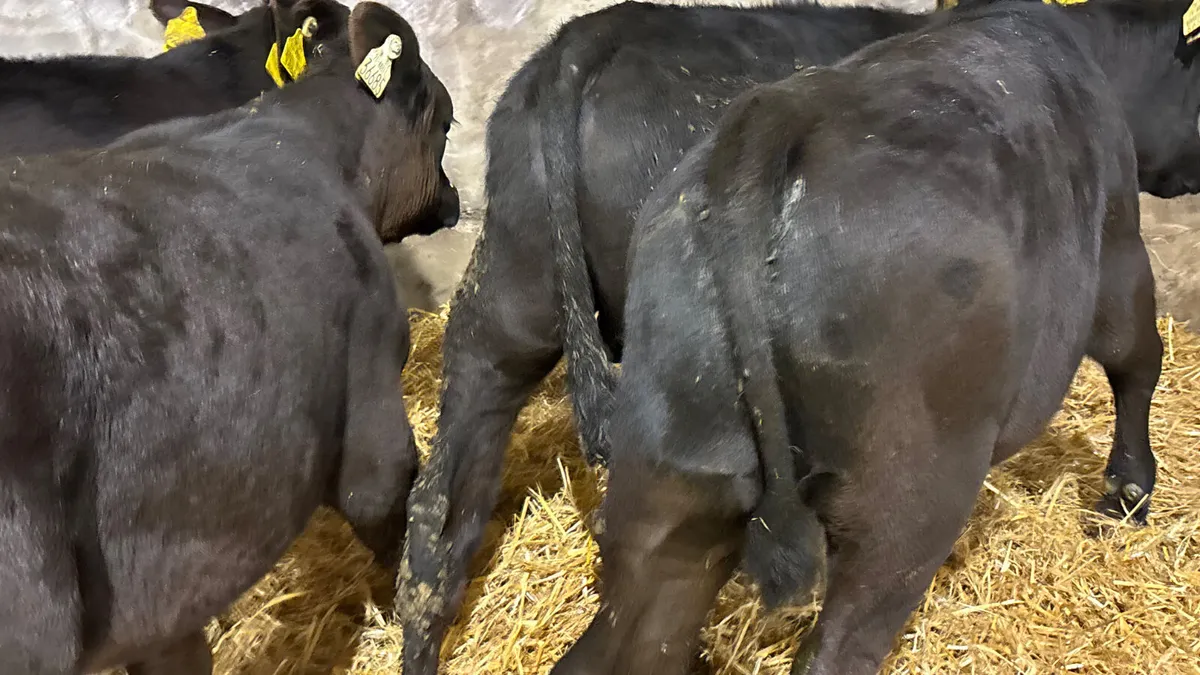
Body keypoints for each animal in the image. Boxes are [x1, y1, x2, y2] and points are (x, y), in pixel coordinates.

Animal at [541, 0, 1200, 673]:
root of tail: (775, 121)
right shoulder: (1119, 256)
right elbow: (1138, 362)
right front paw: (1128, 494)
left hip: (671, 491)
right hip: (904, 500)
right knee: (839, 646)